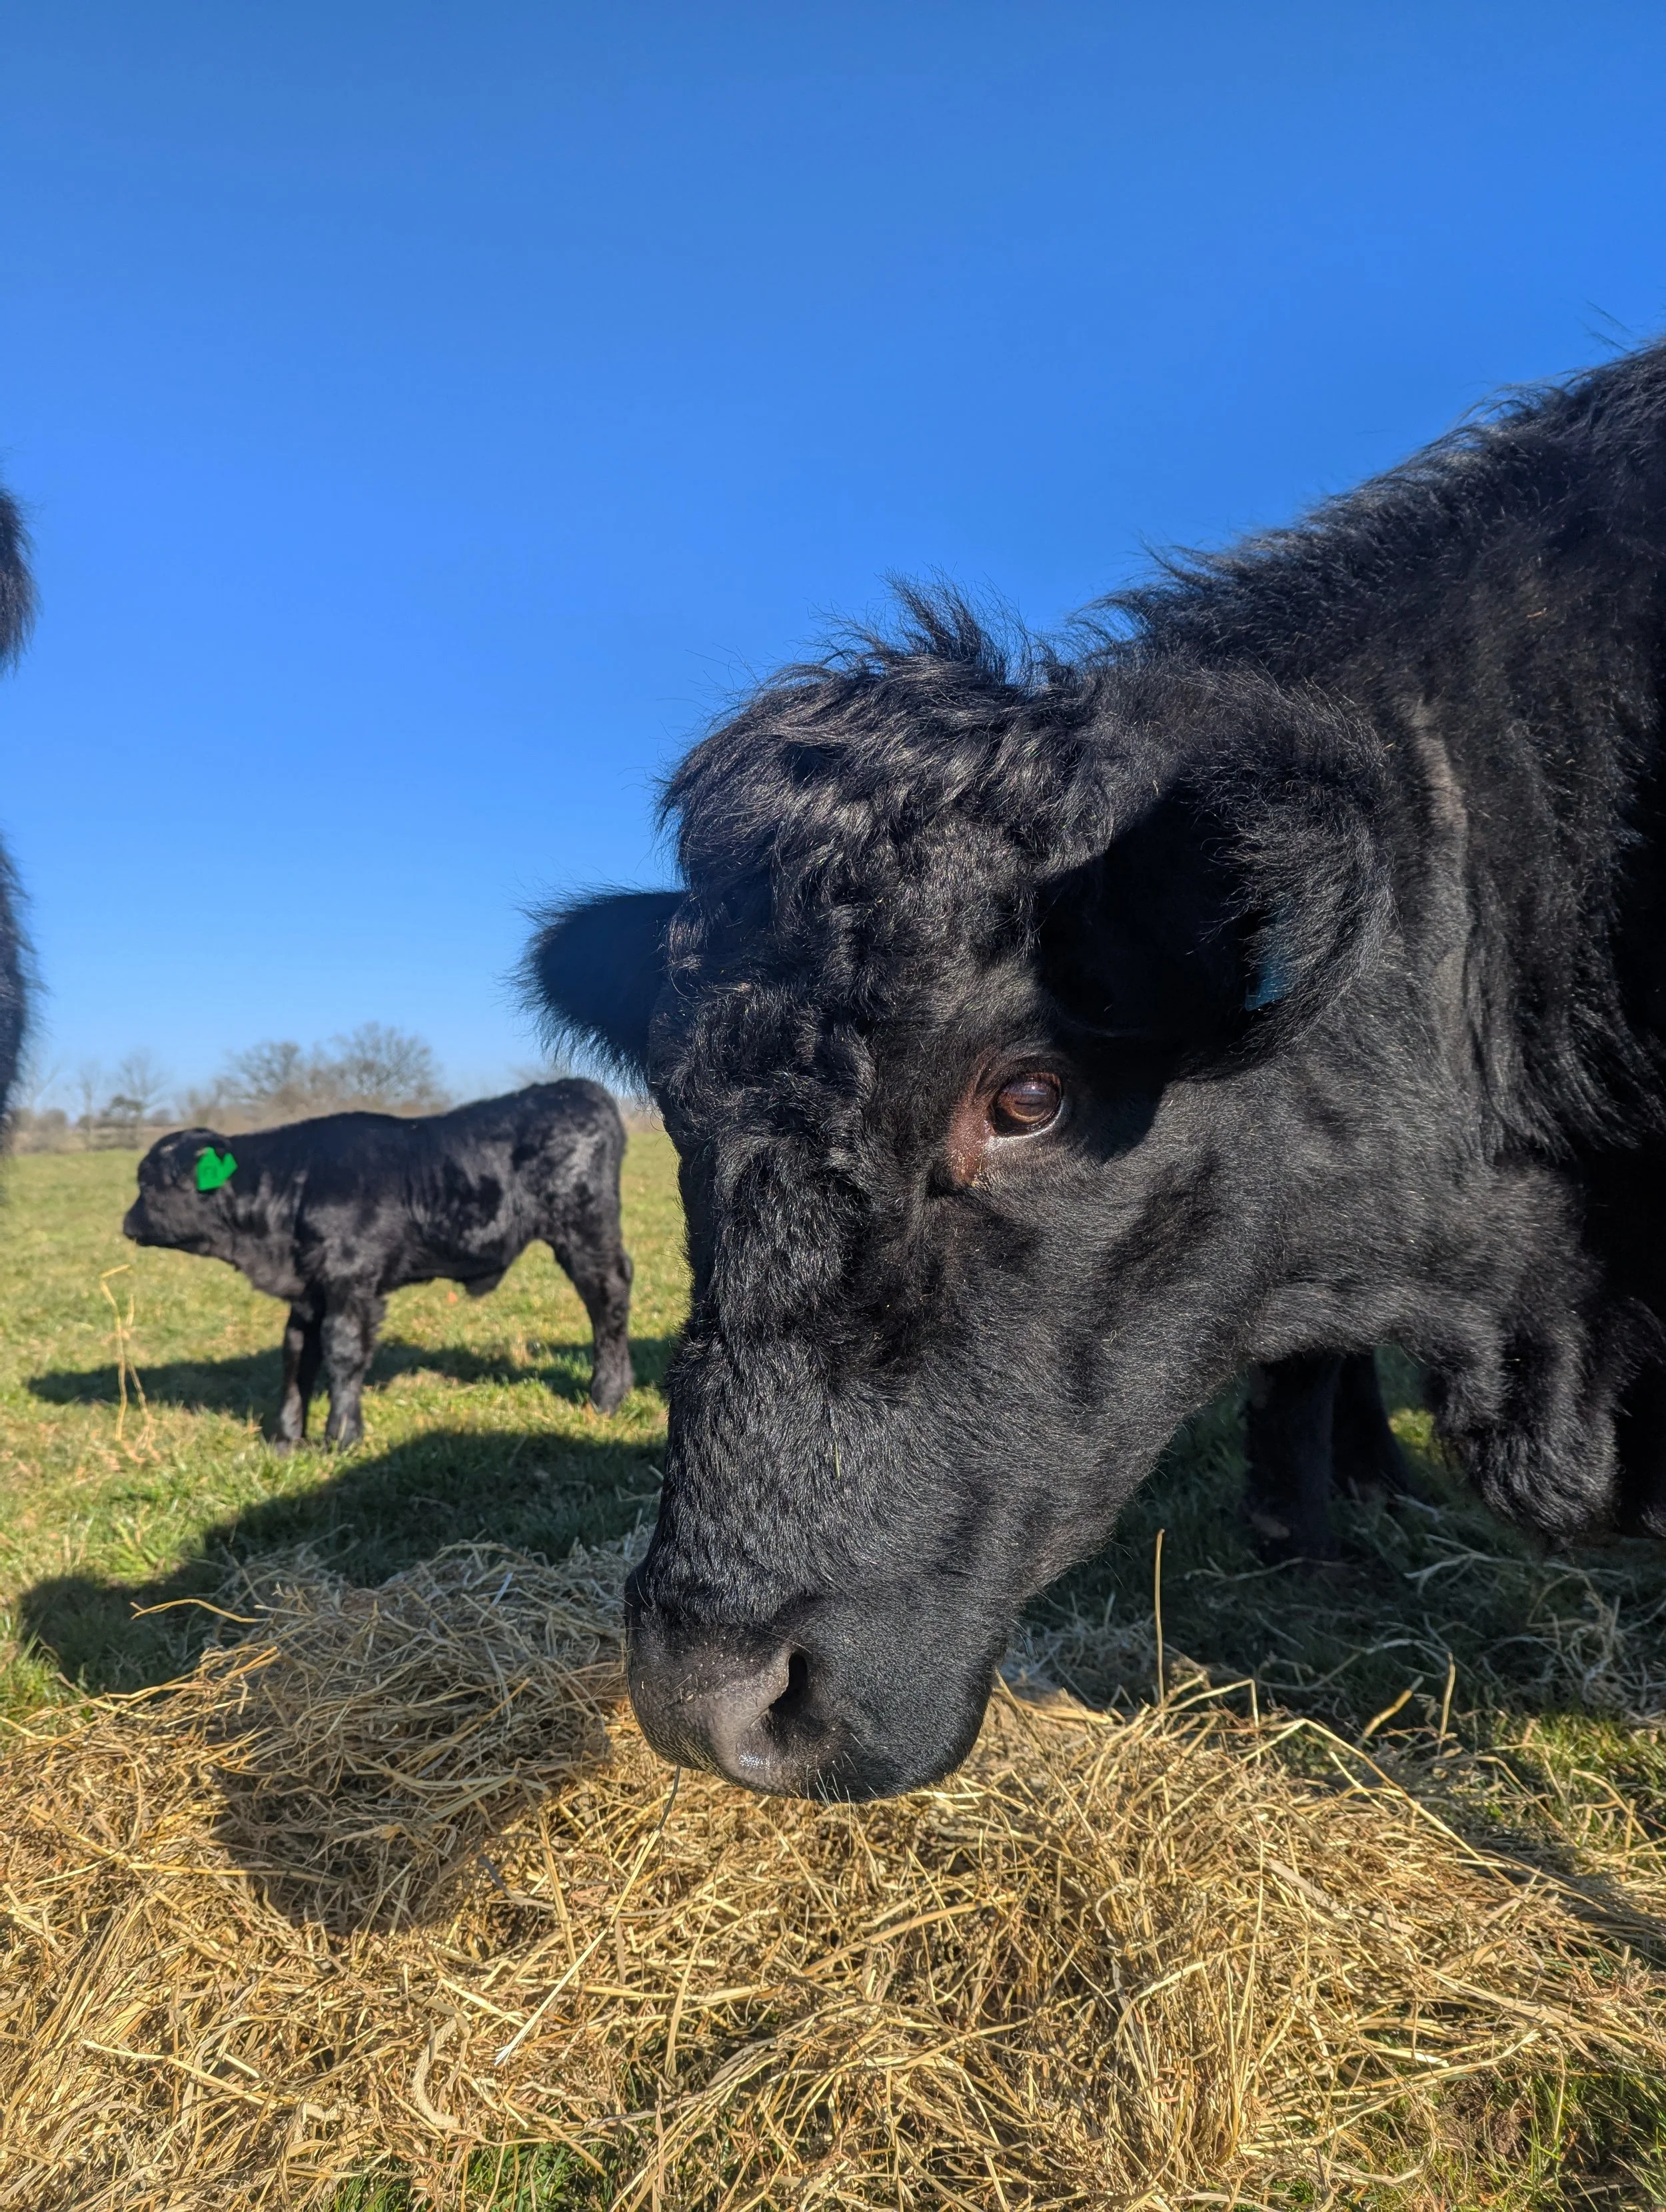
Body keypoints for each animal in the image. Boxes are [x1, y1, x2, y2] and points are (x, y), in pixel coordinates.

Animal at [123, 1082, 635, 1446]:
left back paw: (606, 1396)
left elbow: (343, 1351)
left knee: (606, 1297)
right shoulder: (309, 1292)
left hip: (585, 1229)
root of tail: (574, 1089)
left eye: (149, 1184)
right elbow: (296, 1355)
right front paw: (287, 1439)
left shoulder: (351, 1281)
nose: (127, 1225)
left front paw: (341, 1436)